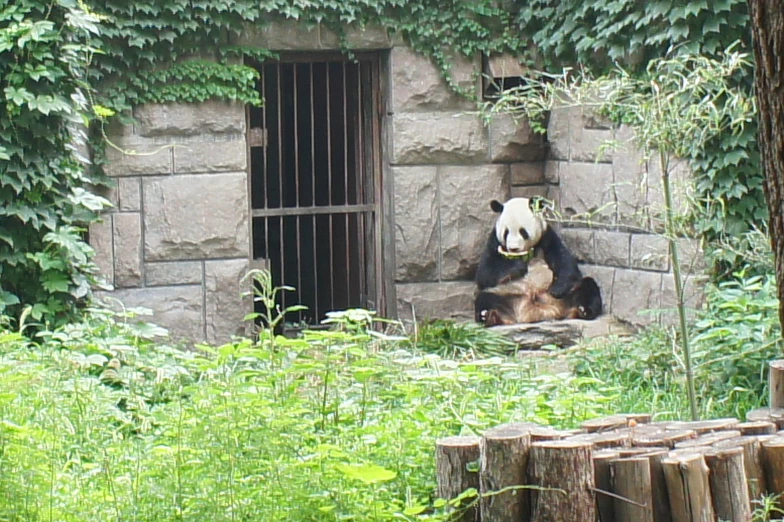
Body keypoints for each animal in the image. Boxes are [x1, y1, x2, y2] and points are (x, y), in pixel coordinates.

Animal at [474, 196, 604, 322]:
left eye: (523, 232)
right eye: (506, 232)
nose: (513, 248)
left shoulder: (547, 236)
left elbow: (565, 263)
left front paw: (557, 289)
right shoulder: (494, 242)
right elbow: (485, 273)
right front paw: (518, 266)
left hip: (568, 294)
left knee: (587, 286)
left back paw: (584, 310)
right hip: (505, 293)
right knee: (485, 298)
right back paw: (489, 316)